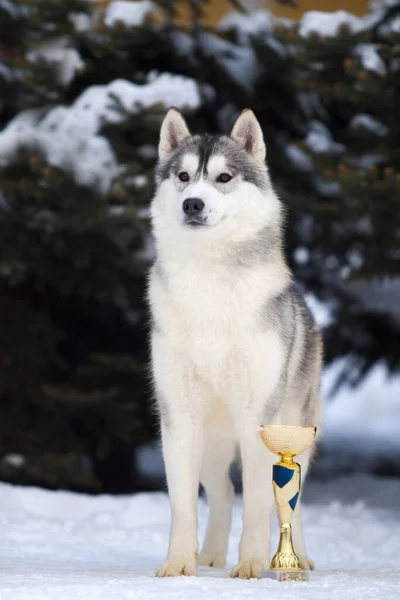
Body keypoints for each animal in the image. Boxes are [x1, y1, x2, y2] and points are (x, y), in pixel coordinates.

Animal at [147, 109, 322, 580]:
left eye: (223, 177)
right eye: (184, 177)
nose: (193, 203)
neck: (209, 285)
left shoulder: (259, 418)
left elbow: (261, 503)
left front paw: (252, 565)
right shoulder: (178, 417)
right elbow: (183, 505)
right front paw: (178, 565)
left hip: (297, 430)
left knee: (294, 504)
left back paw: (298, 562)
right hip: (210, 443)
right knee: (223, 492)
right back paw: (208, 556)